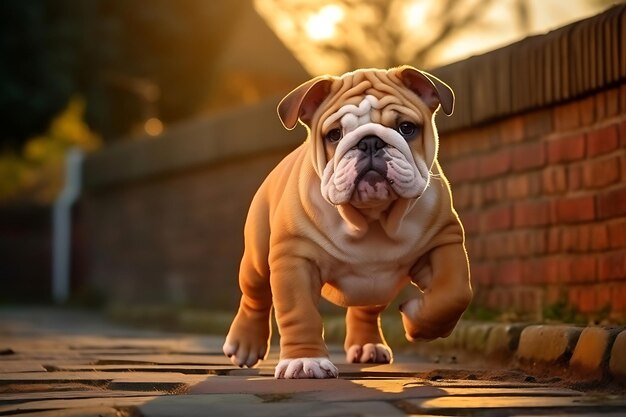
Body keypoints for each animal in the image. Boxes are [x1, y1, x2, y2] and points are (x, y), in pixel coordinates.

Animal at [222, 64, 470, 376]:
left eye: (406, 128)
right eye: (334, 134)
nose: (370, 141)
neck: (371, 217)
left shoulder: (444, 242)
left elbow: (454, 294)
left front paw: (415, 318)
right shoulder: (294, 259)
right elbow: (299, 312)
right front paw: (305, 361)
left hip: (376, 287)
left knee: (366, 309)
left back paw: (367, 346)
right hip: (257, 259)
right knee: (254, 295)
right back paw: (245, 344)